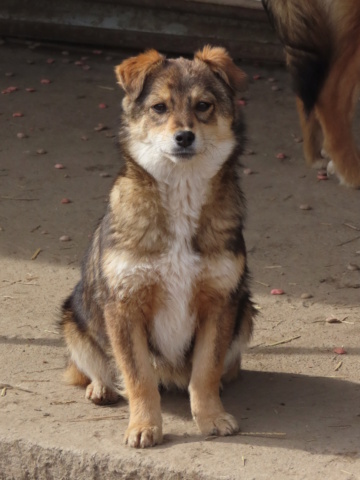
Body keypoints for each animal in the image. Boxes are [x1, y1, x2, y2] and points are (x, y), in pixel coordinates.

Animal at [59, 47, 255, 448]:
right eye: (159, 107)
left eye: (203, 105)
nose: (184, 137)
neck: (181, 194)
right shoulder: (123, 306)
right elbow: (139, 378)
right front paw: (144, 426)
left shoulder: (221, 302)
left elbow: (205, 371)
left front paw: (211, 417)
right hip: (74, 318)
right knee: (93, 366)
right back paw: (101, 388)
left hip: (246, 313)